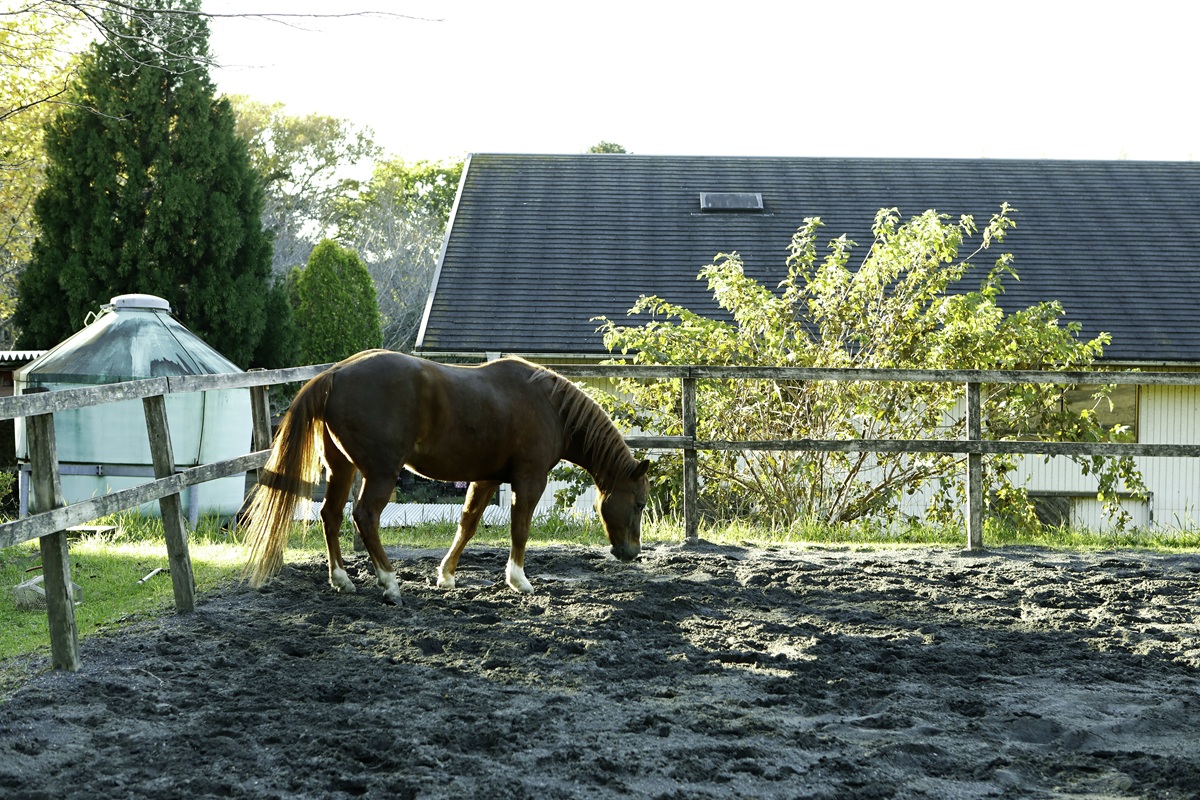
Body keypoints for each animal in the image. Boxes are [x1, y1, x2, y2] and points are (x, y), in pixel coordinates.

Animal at [243, 347, 652, 604]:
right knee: (364, 517)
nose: (632, 552)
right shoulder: (529, 479)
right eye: (639, 503)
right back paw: (390, 583)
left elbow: (467, 525)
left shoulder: (486, 479)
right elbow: (520, 528)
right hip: (381, 473)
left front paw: (446, 575)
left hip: (341, 467)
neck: (549, 406)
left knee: (331, 515)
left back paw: (342, 579)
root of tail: (335, 374)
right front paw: (519, 580)